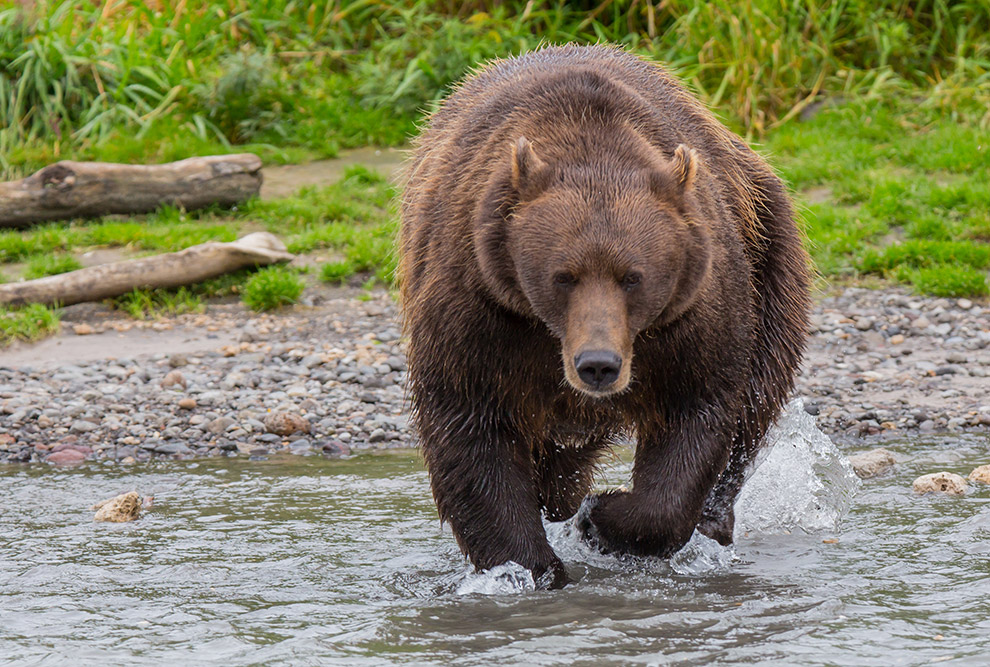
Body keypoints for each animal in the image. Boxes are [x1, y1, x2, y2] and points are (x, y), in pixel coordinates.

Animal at [400, 44, 808, 588]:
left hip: (768, 251)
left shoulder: (691, 311)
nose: (598, 364)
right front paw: (529, 567)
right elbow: (470, 424)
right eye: (563, 276)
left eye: (632, 276)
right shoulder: (479, 302)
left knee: (755, 402)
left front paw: (602, 519)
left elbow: (696, 411)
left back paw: (710, 521)